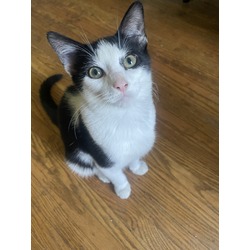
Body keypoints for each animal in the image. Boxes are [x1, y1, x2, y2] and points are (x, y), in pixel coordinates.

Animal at [39, 0, 155, 199]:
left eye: (130, 60)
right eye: (94, 72)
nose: (121, 84)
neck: (126, 117)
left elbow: (135, 154)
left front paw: (136, 165)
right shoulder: (100, 155)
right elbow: (114, 172)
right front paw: (123, 189)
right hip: (76, 152)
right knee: (88, 166)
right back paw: (103, 177)